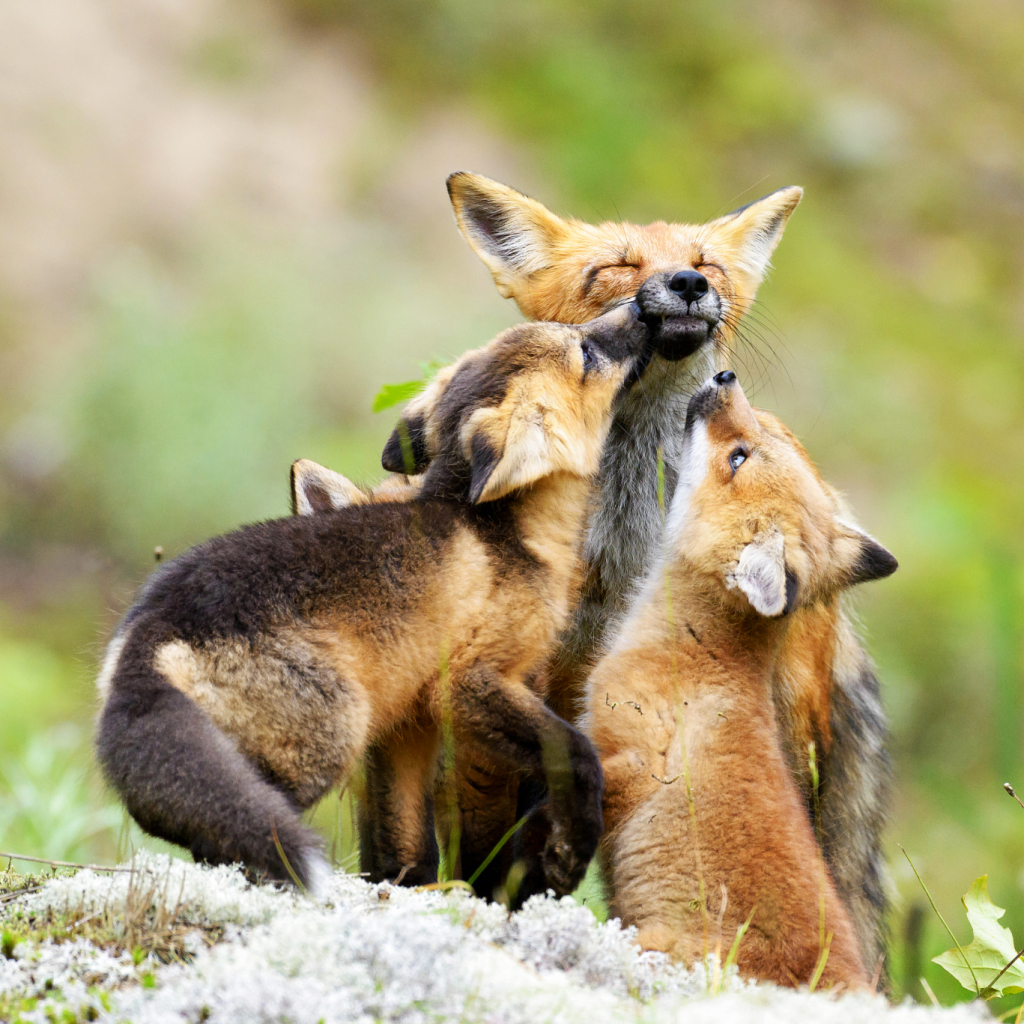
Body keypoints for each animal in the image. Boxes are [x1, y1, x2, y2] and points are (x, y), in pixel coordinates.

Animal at [585, 372, 897, 987]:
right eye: (756, 440)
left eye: (737, 457)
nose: (724, 378)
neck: (691, 652)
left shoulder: (627, 763)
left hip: (656, 946)